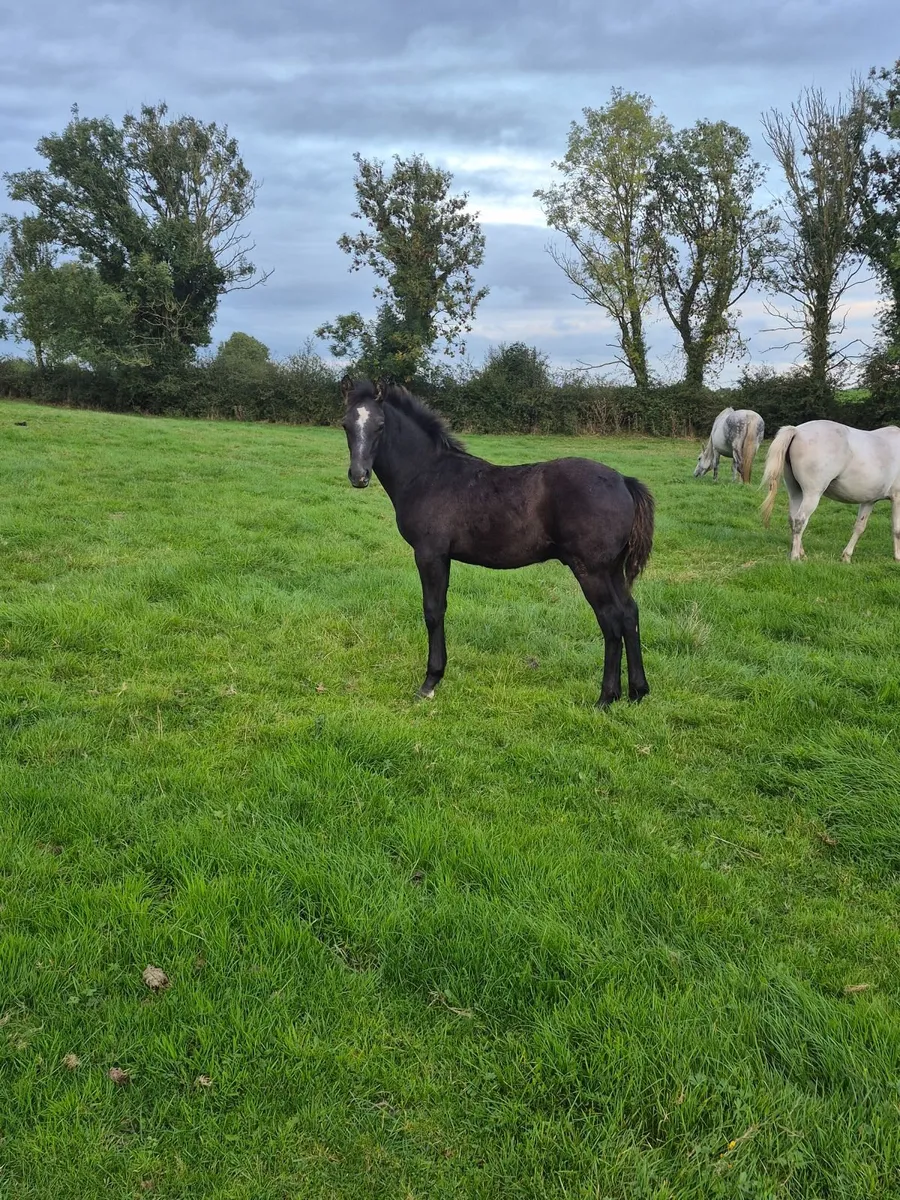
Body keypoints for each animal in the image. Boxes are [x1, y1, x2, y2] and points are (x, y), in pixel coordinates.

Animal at [339, 377, 655, 708]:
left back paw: (606, 698)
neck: (427, 474)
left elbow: (433, 611)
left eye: (380, 425)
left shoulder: (430, 554)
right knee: (629, 613)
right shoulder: (442, 556)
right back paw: (637, 692)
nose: (358, 476)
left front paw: (430, 683)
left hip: (591, 570)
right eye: (345, 425)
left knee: (611, 620)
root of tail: (624, 481)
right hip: (612, 569)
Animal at [760, 419, 900, 562]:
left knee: (792, 519)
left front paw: (846, 557)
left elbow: (859, 527)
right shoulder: (897, 498)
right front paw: (897, 557)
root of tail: (797, 431)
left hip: (795, 492)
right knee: (800, 520)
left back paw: (801, 553)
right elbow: (897, 529)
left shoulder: (869, 501)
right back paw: (795, 557)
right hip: (812, 494)